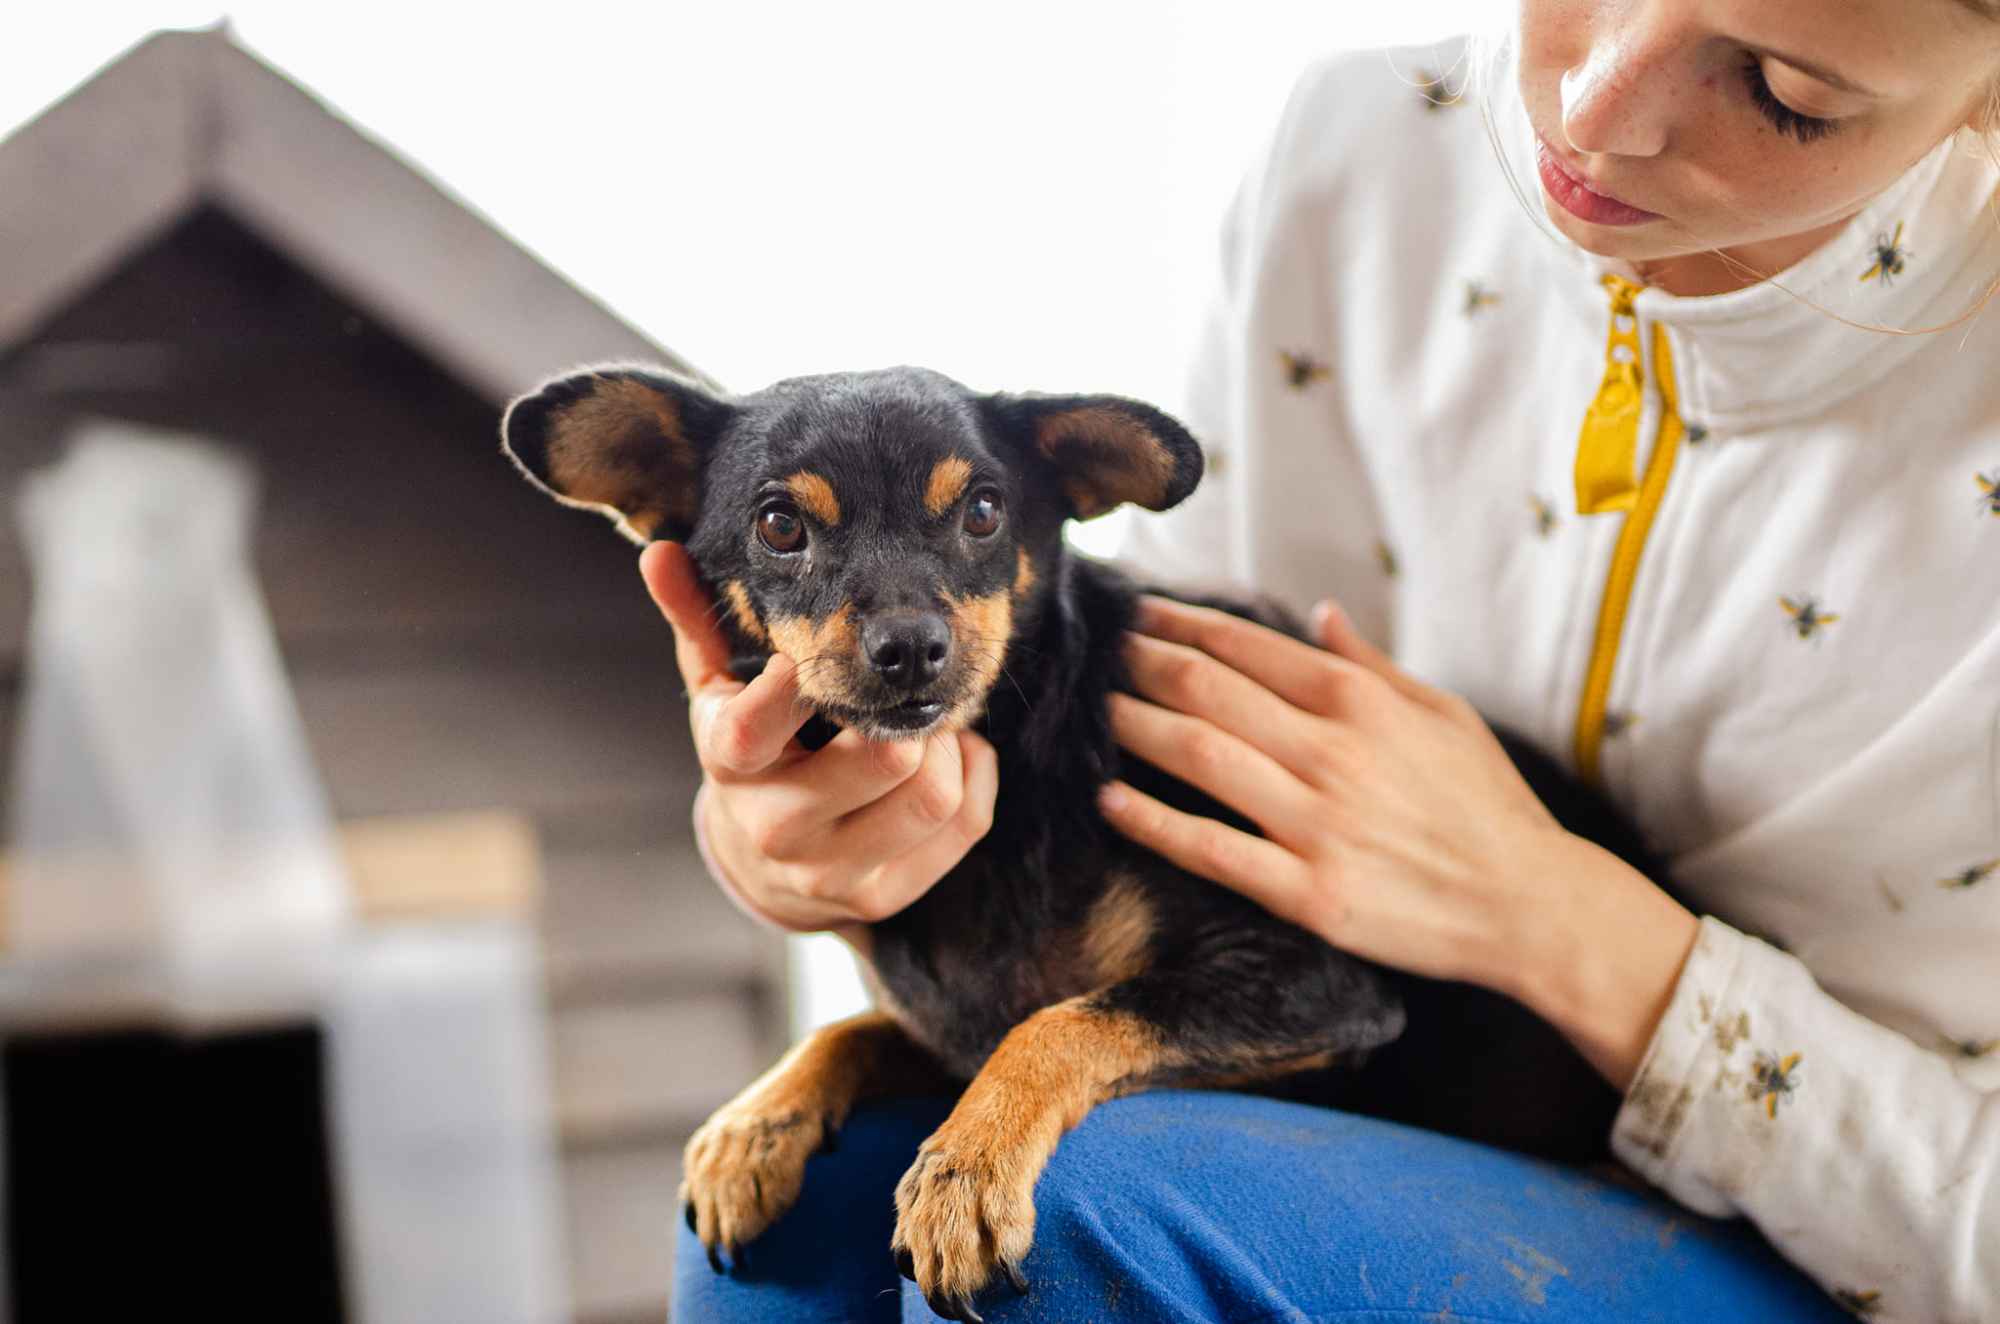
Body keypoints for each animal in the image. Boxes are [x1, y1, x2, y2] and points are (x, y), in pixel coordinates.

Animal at [496, 360, 1656, 1320]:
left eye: (983, 511)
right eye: (780, 525)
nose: (910, 647)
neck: (1013, 783)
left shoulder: (1314, 983)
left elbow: (1060, 1020)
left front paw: (966, 1167)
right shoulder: (942, 1025)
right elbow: (857, 1029)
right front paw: (756, 1122)